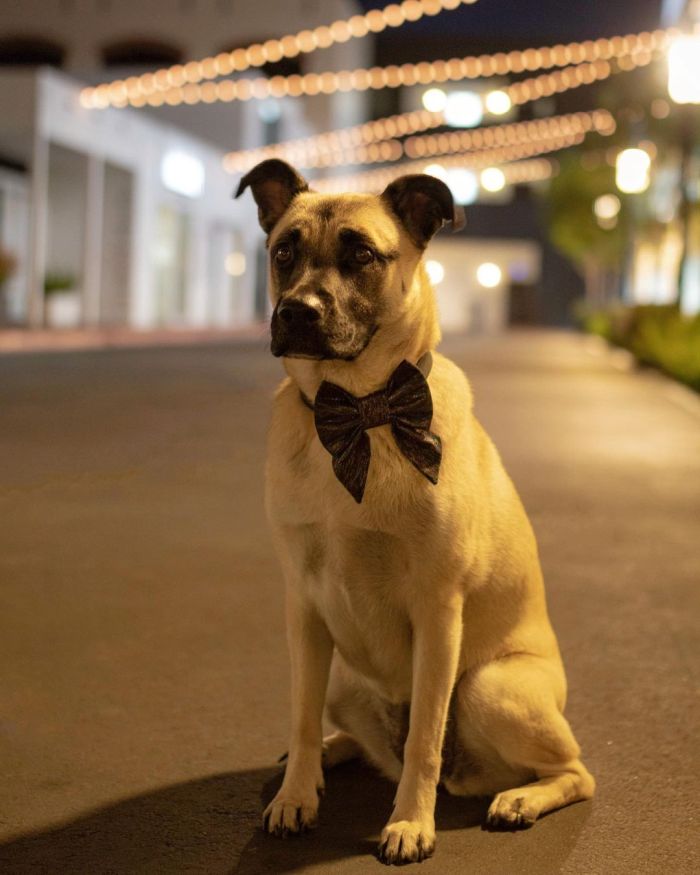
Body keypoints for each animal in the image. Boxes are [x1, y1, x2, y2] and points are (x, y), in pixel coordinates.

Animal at [237, 161, 596, 864]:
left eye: (362, 255)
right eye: (284, 252)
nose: (295, 313)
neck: (360, 412)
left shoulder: (437, 609)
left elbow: (425, 738)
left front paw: (409, 823)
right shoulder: (303, 607)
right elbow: (300, 710)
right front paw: (296, 794)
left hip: (490, 687)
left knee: (575, 771)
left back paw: (519, 799)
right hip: (343, 673)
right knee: (357, 736)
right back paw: (327, 754)